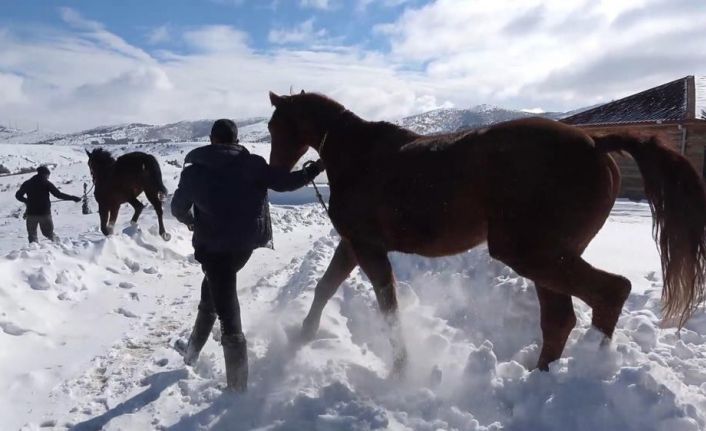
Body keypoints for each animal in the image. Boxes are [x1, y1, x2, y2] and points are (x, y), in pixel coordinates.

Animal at [266, 92, 706, 374]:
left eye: (275, 126)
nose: (274, 174)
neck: (360, 157)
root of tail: (596, 144)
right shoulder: (353, 245)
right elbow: (325, 287)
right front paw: (302, 336)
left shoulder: (368, 248)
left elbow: (388, 307)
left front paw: (402, 367)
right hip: (550, 256)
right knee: (560, 319)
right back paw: (542, 376)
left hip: (531, 253)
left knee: (609, 292)